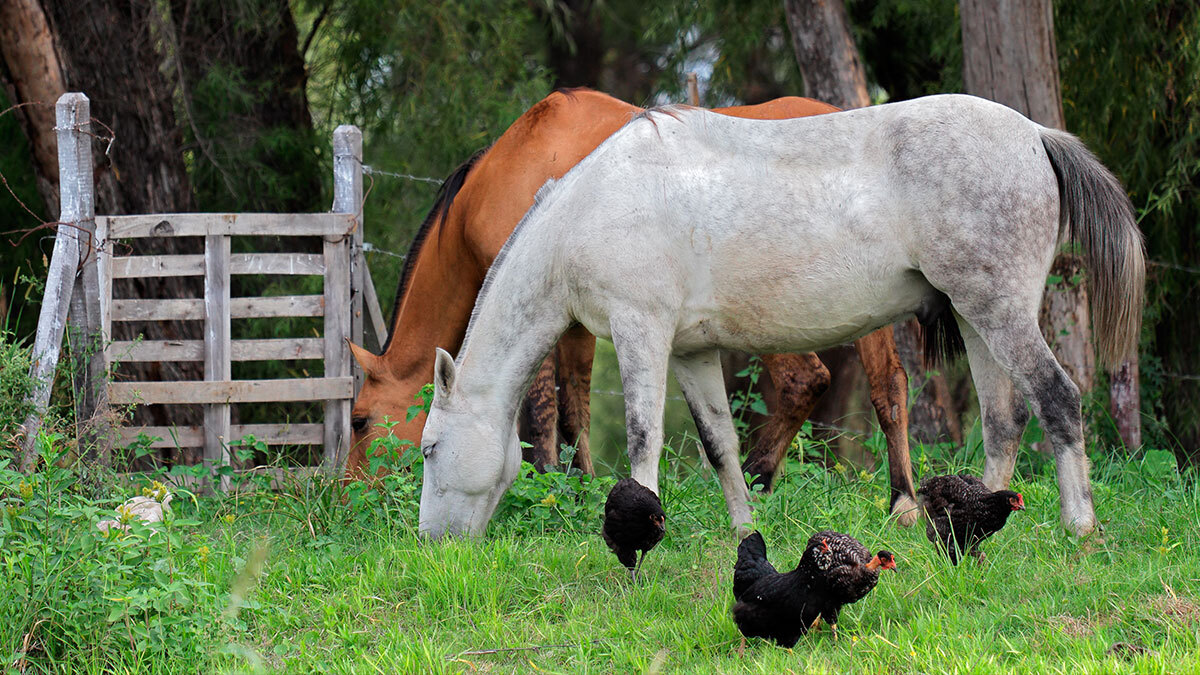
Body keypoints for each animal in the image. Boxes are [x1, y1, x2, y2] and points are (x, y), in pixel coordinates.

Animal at [348, 88, 916, 521]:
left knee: (806, 381)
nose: (346, 492)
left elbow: (546, 407)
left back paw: (757, 479)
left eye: (358, 420)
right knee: (888, 386)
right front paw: (579, 486)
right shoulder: (577, 319)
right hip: (863, 307)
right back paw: (899, 502)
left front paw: (556, 484)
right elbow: (572, 404)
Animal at [420, 93, 1142, 535]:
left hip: (999, 314)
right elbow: (721, 444)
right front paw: (744, 527)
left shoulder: (639, 333)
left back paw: (1079, 525)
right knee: (1003, 418)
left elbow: (642, 439)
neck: (593, 205)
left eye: (428, 447)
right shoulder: (691, 352)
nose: (431, 543)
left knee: (1056, 397)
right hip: (974, 317)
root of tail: (1035, 135)